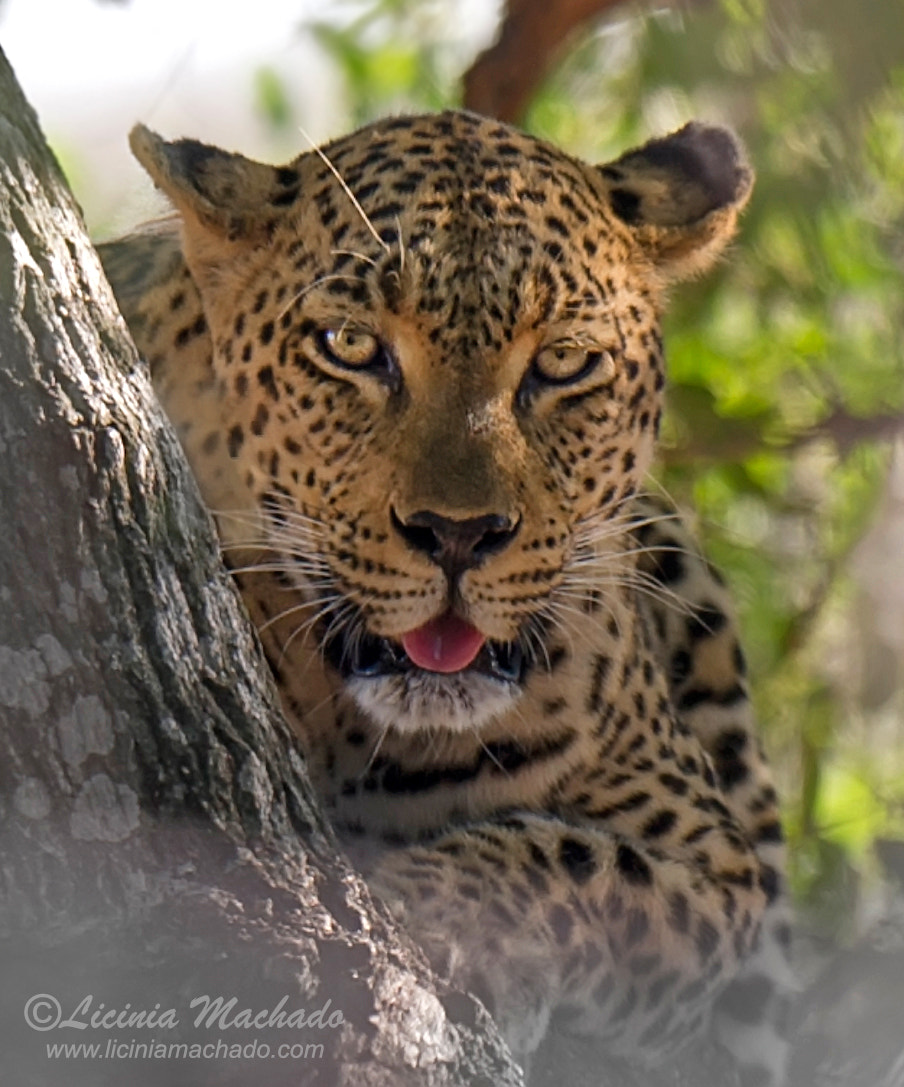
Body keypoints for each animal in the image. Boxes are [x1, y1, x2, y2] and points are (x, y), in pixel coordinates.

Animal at [98, 110, 793, 1086]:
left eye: (564, 362)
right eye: (351, 348)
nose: (457, 534)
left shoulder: (718, 863)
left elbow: (578, 858)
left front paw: (421, 908)